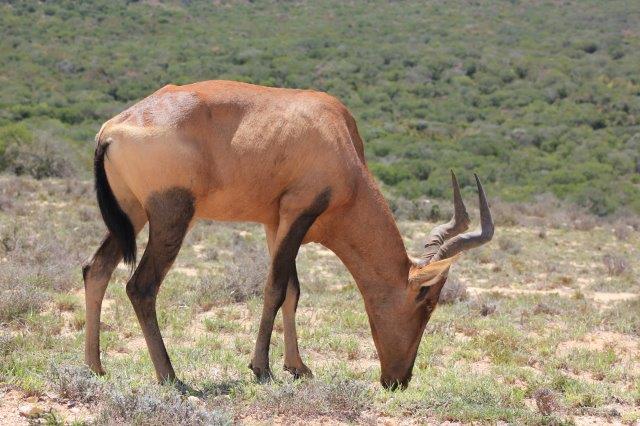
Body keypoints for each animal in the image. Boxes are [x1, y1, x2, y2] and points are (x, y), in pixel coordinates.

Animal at [84, 80, 496, 390]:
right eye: (427, 302)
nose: (398, 380)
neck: (334, 133)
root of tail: (112, 128)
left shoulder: (275, 221)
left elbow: (293, 293)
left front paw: (298, 366)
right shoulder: (300, 212)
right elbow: (276, 288)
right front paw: (262, 368)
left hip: (132, 213)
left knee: (96, 269)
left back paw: (95, 367)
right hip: (171, 215)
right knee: (141, 286)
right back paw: (171, 377)